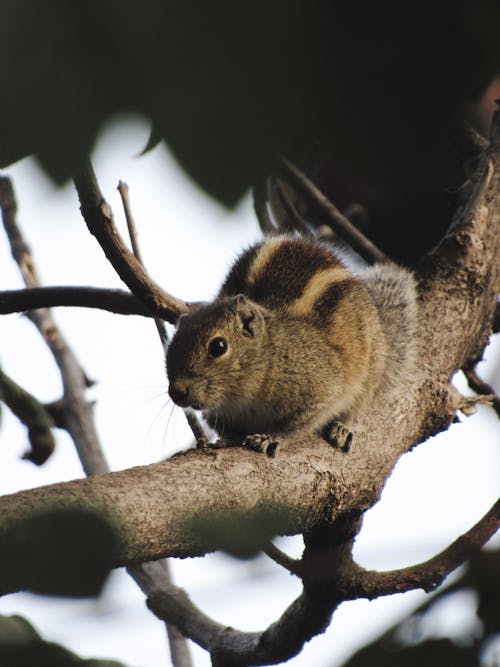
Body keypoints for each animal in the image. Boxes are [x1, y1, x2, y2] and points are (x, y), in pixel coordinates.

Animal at [167, 232, 418, 456]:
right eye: (171, 346)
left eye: (218, 346)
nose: (176, 392)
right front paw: (228, 438)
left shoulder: (319, 385)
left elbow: (298, 423)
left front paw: (270, 438)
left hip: (369, 373)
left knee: (357, 407)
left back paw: (342, 428)